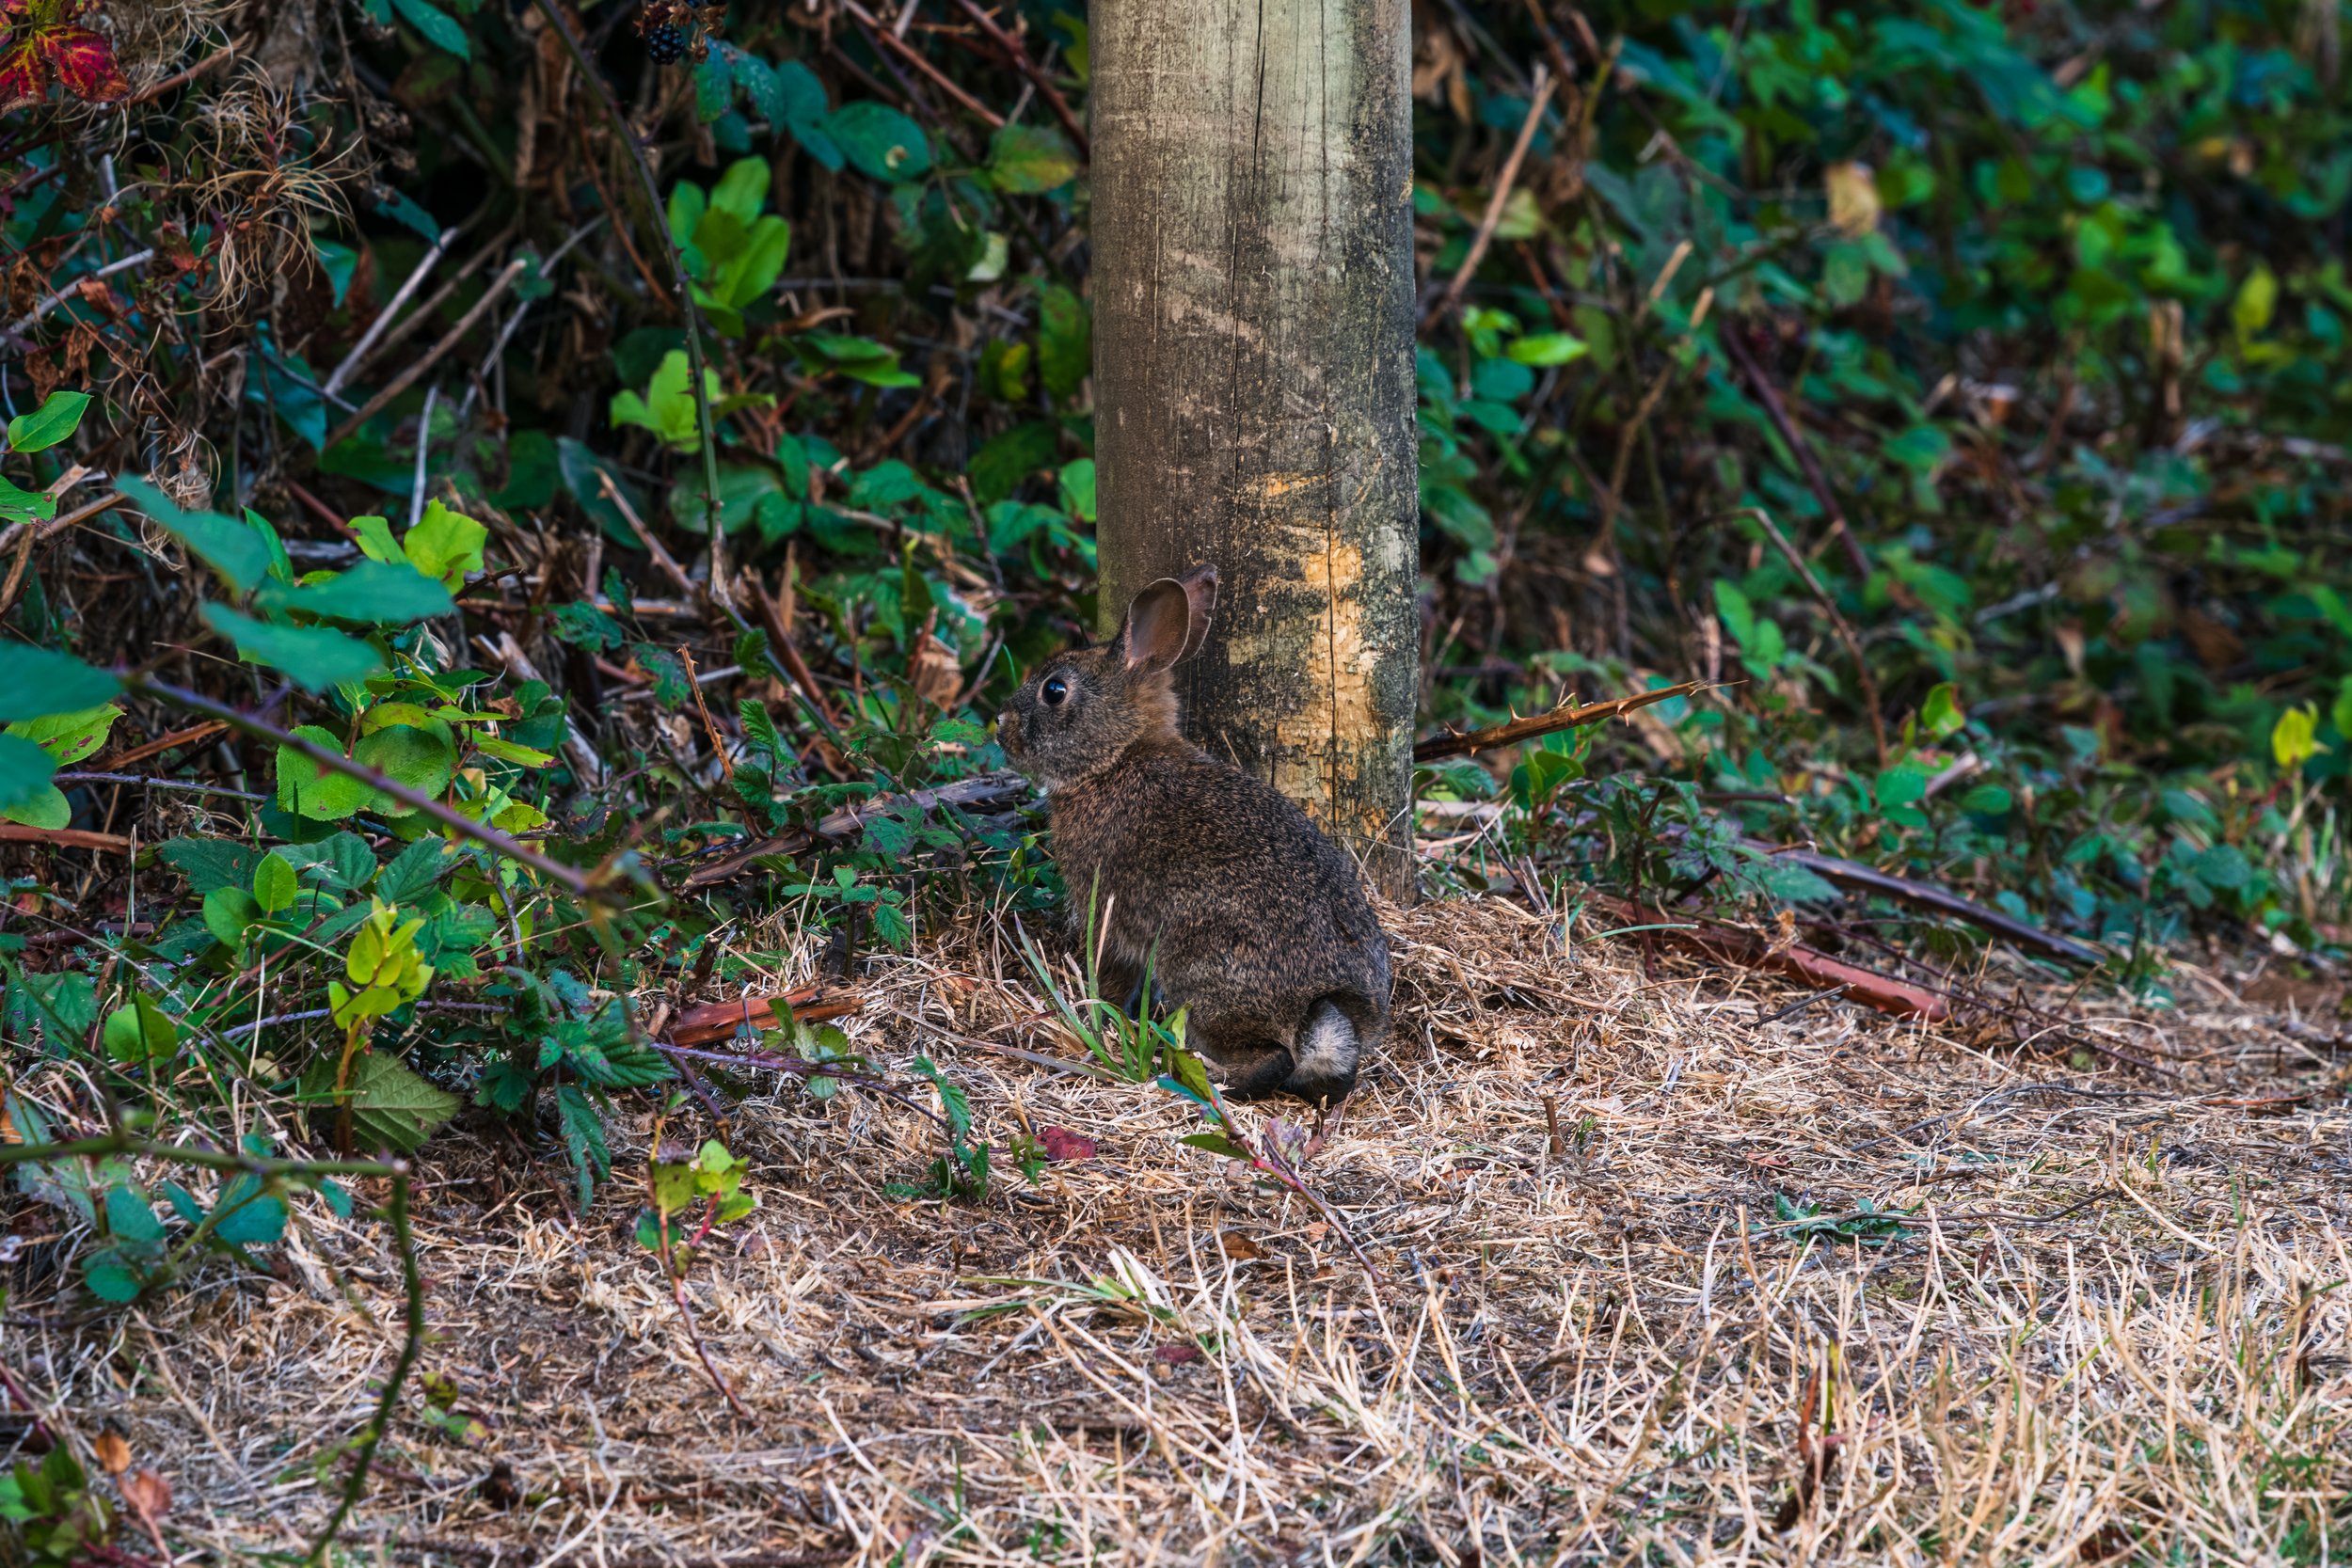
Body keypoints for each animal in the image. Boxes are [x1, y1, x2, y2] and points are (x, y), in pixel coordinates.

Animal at [995, 565, 1390, 1106]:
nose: (1000, 726)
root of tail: (1324, 1010)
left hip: (1200, 973)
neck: (1116, 758)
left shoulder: (1104, 908)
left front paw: (1100, 1009)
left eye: (1054, 690)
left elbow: (1108, 966)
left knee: (1272, 1060)